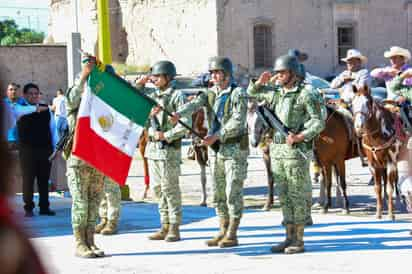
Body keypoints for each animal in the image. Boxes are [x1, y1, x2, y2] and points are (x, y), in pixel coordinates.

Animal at [350, 86, 406, 219]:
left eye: (367, 103)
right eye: (352, 103)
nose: (358, 127)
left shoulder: (391, 163)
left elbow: (390, 188)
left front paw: (391, 214)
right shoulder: (374, 165)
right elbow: (378, 188)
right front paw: (379, 213)